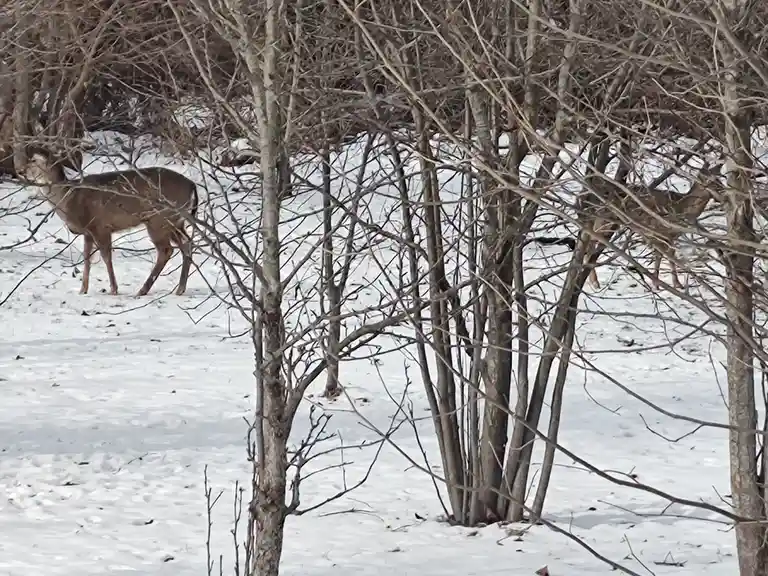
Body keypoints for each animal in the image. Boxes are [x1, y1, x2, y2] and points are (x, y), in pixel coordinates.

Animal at [23, 150, 199, 297]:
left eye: (34, 160)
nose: (21, 171)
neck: (69, 198)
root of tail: (192, 185)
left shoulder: (100, 226)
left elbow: (106, 257)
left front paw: (113, 289)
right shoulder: (88, 231)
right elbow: (87, 258)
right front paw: (83, 289)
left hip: (159, 219)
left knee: (166, 250)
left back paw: (143, 290)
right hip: (176, 220)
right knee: (187, 243)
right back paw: (180, 288)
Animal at [581, 162, 723, 291]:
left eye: (720, 179)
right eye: (713, 182)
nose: (723, 193)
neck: (680, 208)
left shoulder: (670, 236)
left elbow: (668, 257)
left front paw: (675, 284)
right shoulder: (657, 230)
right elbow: (664, 256)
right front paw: (659, 284)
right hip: (603, 219)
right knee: (590, 243)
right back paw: (594, 282)